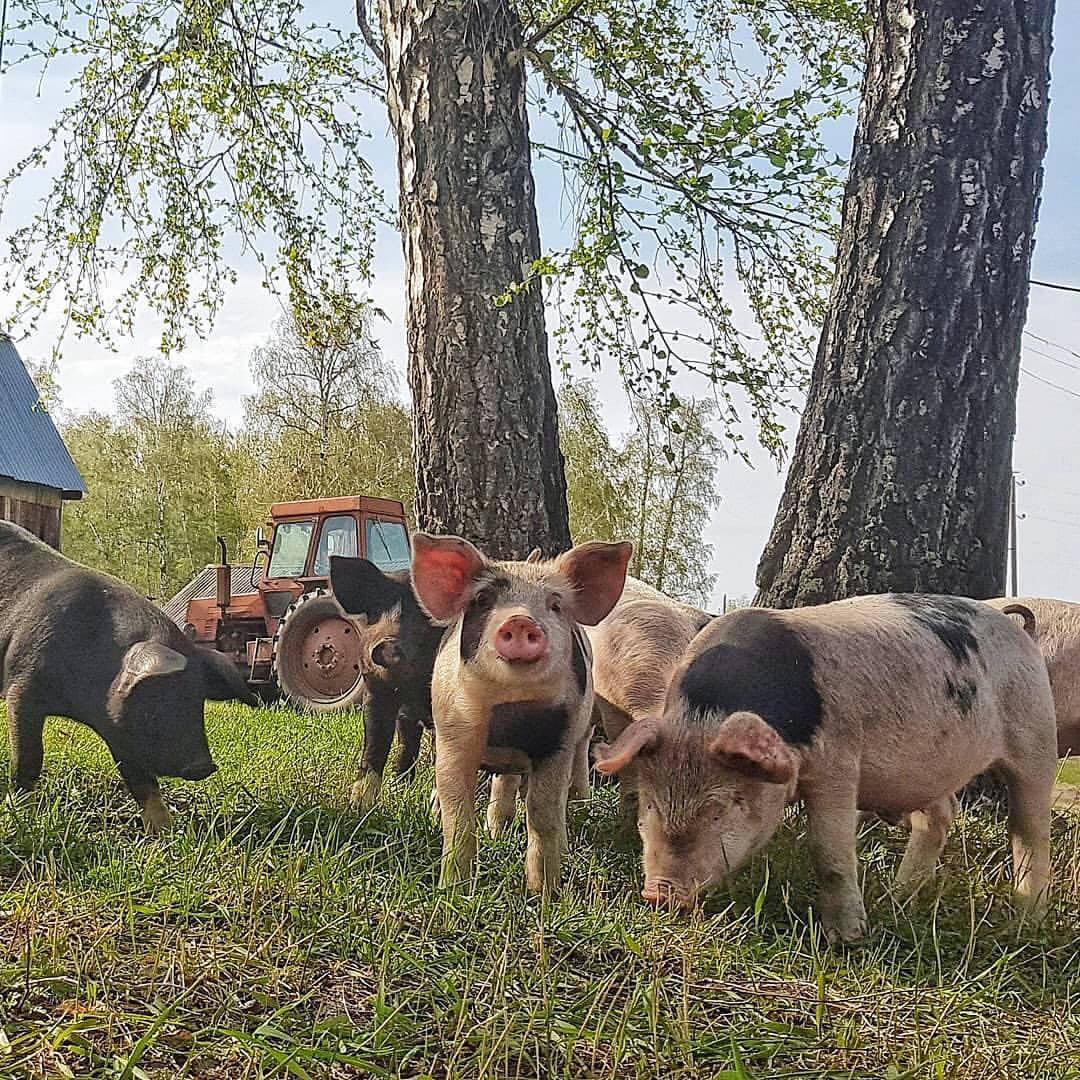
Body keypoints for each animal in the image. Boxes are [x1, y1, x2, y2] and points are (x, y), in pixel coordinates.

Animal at [0, 518, 259, 829]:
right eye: (158, 699)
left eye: (198, 702)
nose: (203, 766)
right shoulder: (22, 686)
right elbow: (29, 758)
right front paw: (19, 815)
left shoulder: (118, 728)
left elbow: (141, 781)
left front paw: (166, 832)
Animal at [324, 557, 442, 812]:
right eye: (376, 610)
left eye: (424, 615)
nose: (385, 645)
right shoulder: (376, 694)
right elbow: (374, 746)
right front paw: (358, 806)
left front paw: (436, 812)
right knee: (406, 747)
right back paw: (399, 788)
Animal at [412, 533, 630, 894]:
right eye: (483, 599)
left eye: (555, 604)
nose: (520, 620)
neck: (511, 713)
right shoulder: (453, 734)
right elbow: (457, 814)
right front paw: (453, 891)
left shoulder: (557, 742)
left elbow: (542, 812)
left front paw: (544, 893)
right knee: (502, 785)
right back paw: (494, 833)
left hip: (579, 735)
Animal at [591, 596, 1054, 941]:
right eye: (650, 804)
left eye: (720, 809)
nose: (658, 894)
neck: (704, 715)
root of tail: (1017, 628)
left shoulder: (839, 762)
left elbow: (827, 850)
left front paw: (846, 939)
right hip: (931, 769)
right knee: (939, 818)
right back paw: (898, 897)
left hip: (1036, 737)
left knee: (1030, 831)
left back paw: (1025, 921)